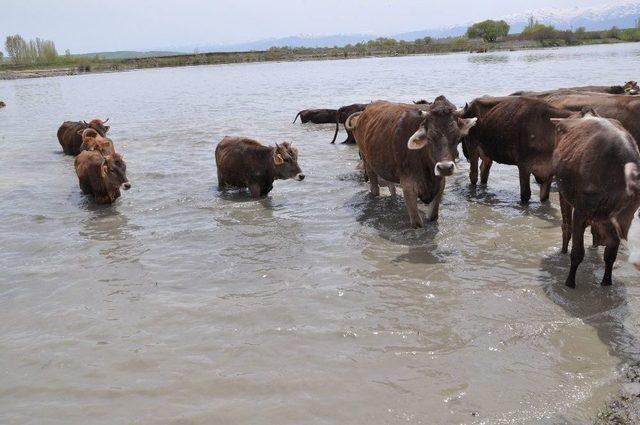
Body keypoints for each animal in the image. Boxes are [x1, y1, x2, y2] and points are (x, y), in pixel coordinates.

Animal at [348, 97, 478, 229]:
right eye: (429, 138)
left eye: (458, 138)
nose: (445, 168)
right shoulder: (408, 186)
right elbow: (417, 223)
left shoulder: (440, 183)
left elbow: (433, 216)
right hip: (367, 163)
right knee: (374, 189)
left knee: (391, 186)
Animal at [552, 108, 640, 288]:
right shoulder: (580, 211)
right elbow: (577, 252)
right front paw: (569, 283)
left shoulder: (611, 220)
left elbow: (610, 253)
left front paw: (607, 282)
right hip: (563, 191)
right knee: (566, 226)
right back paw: (562, 251)